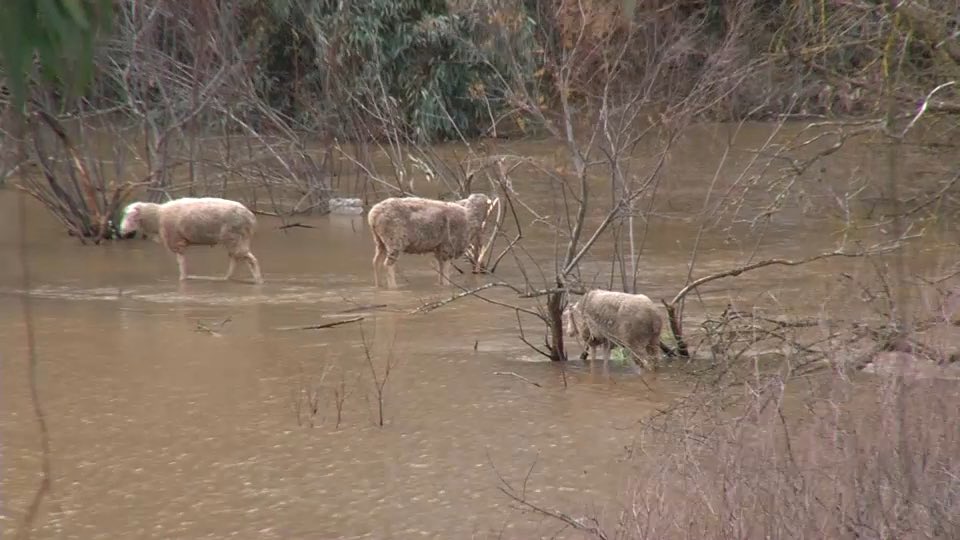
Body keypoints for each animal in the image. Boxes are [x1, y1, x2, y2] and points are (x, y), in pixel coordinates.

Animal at [119, 197, 263, 284]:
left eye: (132, 216)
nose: (122, 230)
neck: (158, 216)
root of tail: (251, 217)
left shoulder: (177, 242)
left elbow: (181, 265)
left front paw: (182, 279)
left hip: (235, 238)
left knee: (251, 260)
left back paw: (257, 280)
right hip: (236, 239)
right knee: (236, 259)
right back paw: (226, 278)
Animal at [367, 193, 499, 288]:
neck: (470, 216)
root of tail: (373, 215)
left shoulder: (439, 249)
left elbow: (441, 271)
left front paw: (440, 285)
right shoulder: (447, 248)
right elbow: (445, 272)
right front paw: (447, 286)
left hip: (379, 241)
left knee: (376, 262)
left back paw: (378, 286)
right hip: (394, 239)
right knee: (388, 265)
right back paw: (393, 287)